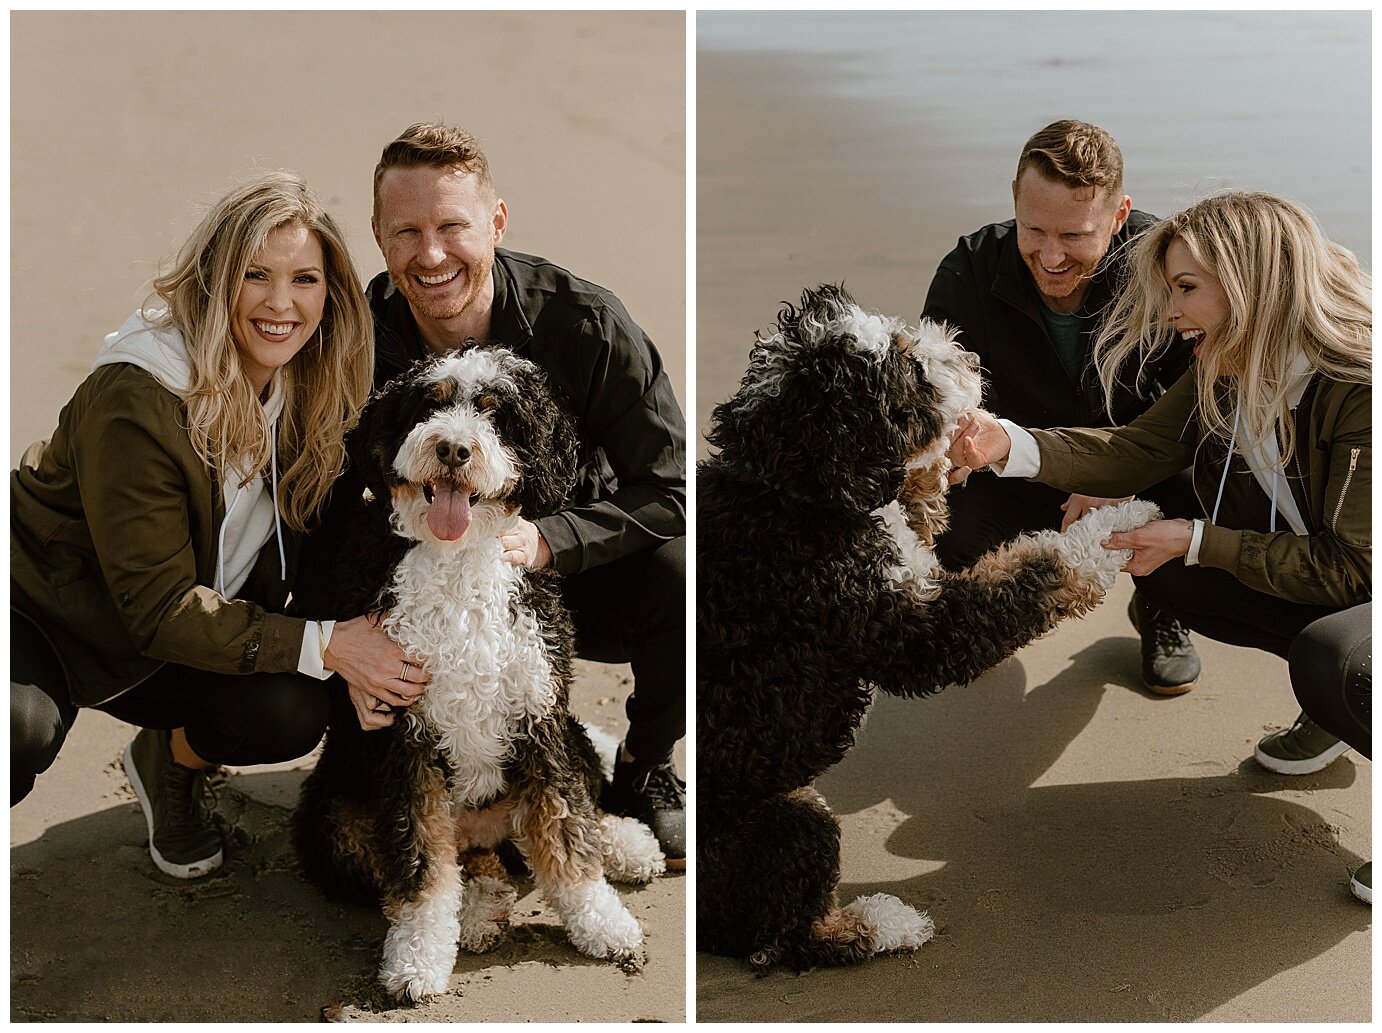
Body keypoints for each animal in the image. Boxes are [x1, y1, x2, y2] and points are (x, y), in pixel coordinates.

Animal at [291, 347, 663, 1001]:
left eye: (496, 415)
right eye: (431, 404)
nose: (452, 449)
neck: (458, 556)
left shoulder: (539, 711)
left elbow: (566, 827)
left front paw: (603, 922)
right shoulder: (403, 733)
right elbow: (419, 865)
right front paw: (416, 960)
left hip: (568, 732)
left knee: (576, 804)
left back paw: (626, 844)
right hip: (331, 822)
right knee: (450, 863)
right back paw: (478, 912)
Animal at [696, 286, 1160, 973]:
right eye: (909, 367)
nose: (964, 353)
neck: (796, 496)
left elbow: (920, 508)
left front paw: (939, 470)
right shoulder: (913, 631)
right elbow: (1038, 568)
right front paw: (1115, 526)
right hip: (790, 822)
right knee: (788, 937)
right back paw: (886, 923)